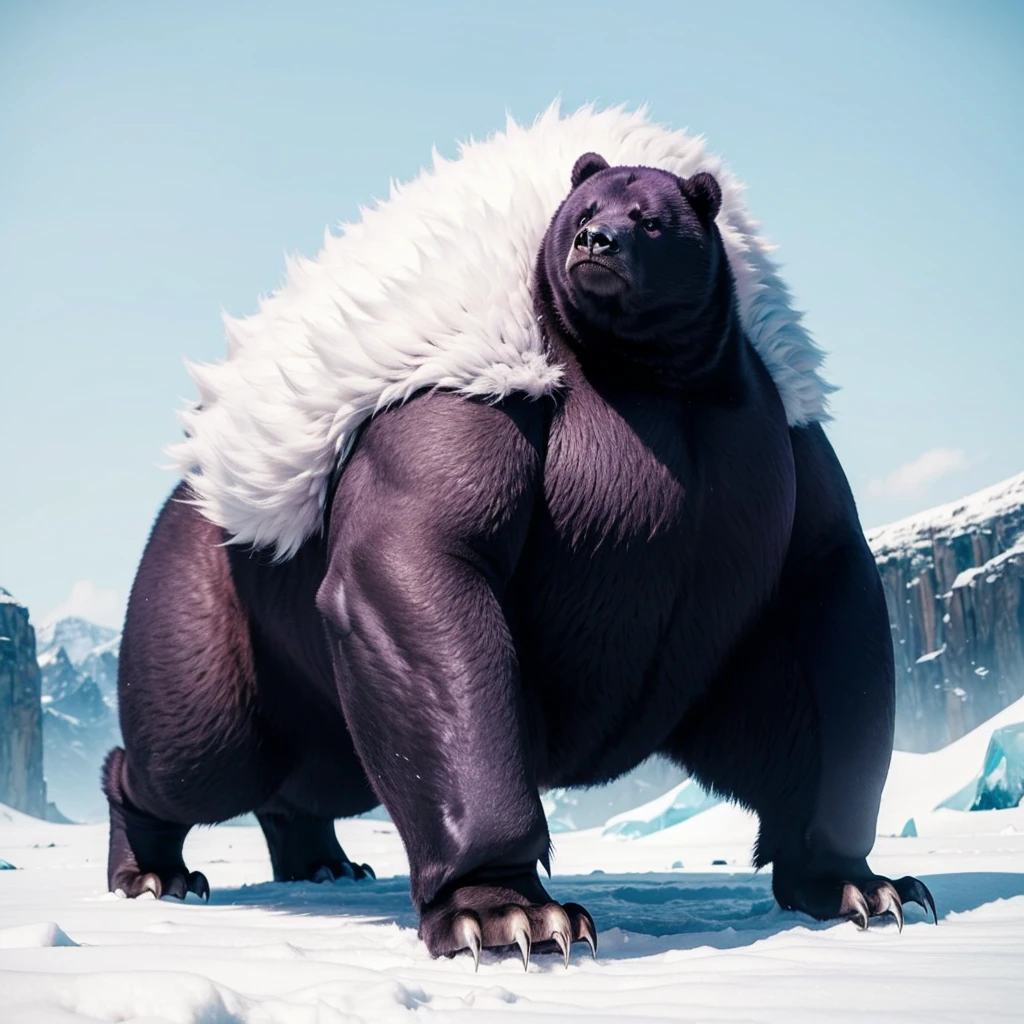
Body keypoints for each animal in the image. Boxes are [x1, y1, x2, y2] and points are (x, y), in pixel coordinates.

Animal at [103, 152, 935, 969]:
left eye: (651, 217)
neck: (653, 373)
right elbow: (422, 566)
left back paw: (322, 862)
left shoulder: (779, 448)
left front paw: (865, 886)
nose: (597, 241)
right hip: (217, 596)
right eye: (587, 208)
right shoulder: (479, 401)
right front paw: (510, 914)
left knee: (315, 775)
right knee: (202, 756)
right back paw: (153, 869)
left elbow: (829, 607)